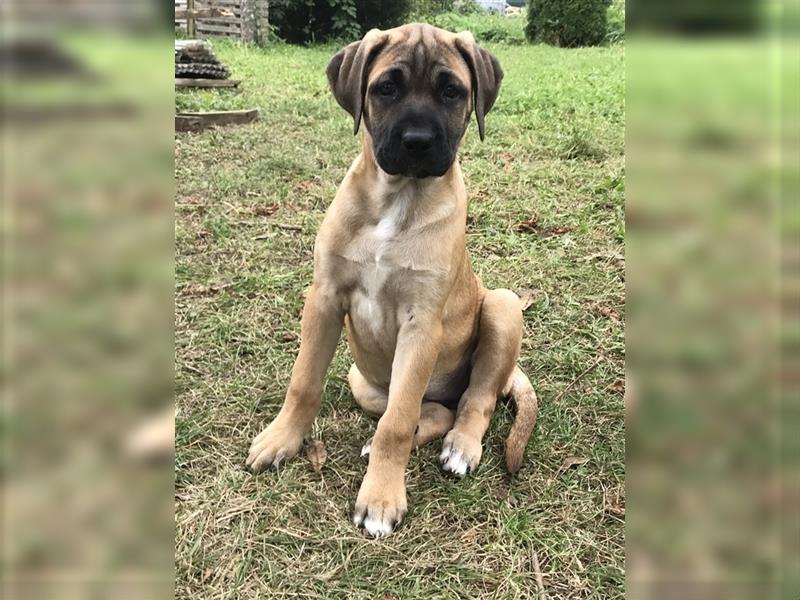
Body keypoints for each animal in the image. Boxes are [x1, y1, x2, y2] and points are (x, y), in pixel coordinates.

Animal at [247, 24, 540, 540]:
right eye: (386, 88)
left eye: (452, 91)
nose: (417, 141)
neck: (396, 199)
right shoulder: (324, 299)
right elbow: (304, 383)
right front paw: (281, 439)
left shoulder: (421, 324)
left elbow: (398, 423)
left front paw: (381, 497)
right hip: (362, 379)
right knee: (434, 410)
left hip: (502, 306)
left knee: (473, 400)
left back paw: (461, 447)